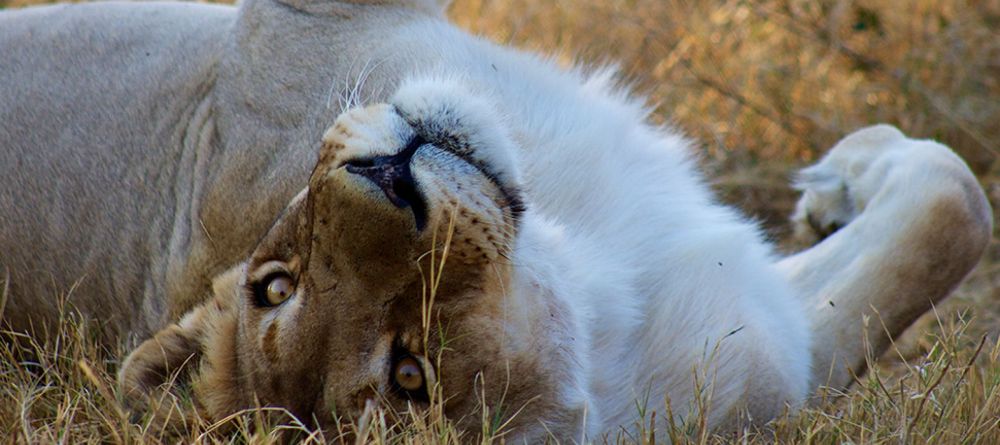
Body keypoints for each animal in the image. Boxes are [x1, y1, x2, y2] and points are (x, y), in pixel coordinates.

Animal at [0, 0, 991, 442]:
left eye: (272, 284)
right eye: (410, 374)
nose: (388, 176)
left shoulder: (765, 344)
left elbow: (954, 206)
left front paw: (839, 181)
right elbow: (955, 197)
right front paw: (853, 167)